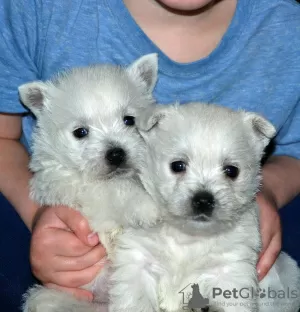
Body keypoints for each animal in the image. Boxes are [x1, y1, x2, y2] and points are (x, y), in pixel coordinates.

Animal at [17, 54, 161, 312]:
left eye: (129, 120)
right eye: (80, 132)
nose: (116, 154)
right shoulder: (78, 189)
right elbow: (116, 190)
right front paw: (147, 207)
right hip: (51, 298)